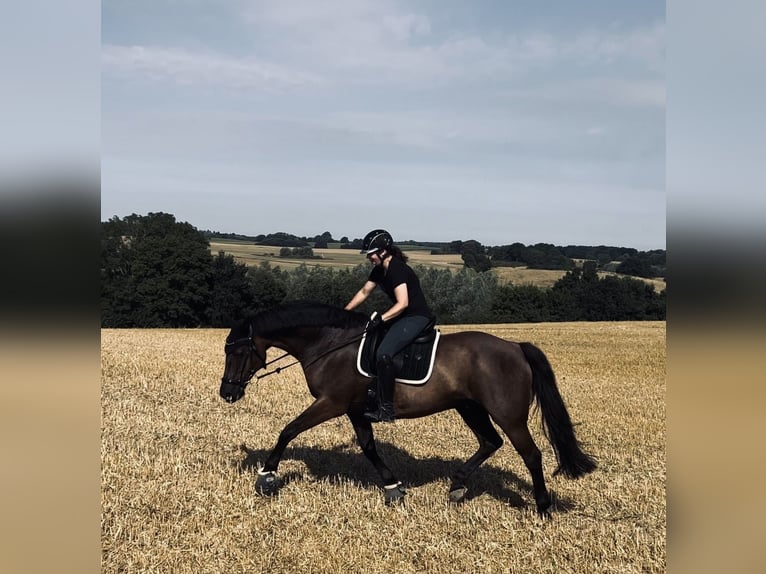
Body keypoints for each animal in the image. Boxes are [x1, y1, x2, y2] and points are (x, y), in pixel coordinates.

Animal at [219, 302, 596, 516]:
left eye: (237, 352)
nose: (227, 393)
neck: (329, 344)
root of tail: (516, 347)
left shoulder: (331, 403)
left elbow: (289, 430)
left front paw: (266, 477)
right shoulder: (355, 410)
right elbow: (369, 448)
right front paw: (393, 489)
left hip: (507, 414)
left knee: (530, 454)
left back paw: (543, 507)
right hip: (470, 407)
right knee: (490, 442)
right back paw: (457, 485)